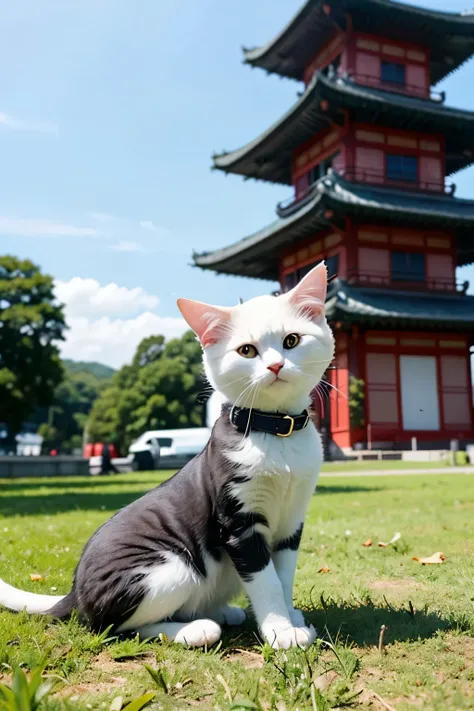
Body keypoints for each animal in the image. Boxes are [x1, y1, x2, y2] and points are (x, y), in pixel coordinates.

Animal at [0, 262, 334, 652]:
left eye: (292, 341)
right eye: (247, 350)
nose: (276, 366)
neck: (276, 431)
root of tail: (75, 593)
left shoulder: (292, 519)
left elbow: (283, 574)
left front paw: (291, 616)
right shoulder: (237, 519)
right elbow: (265, 581)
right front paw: (280, 631)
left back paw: (221, 612)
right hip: (171, 568)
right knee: (113, 627)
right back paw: (196, 629)